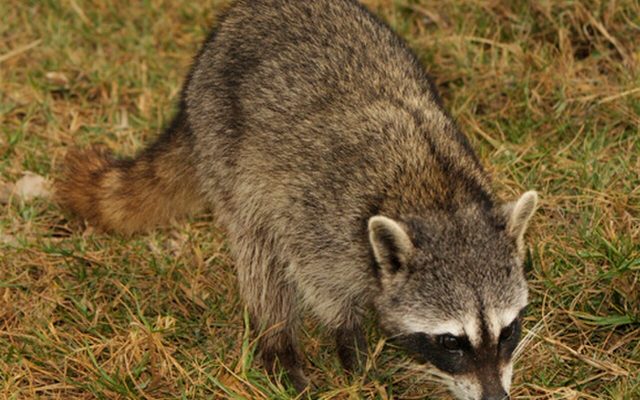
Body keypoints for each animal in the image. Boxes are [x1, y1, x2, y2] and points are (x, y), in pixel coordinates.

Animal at [56, 1, 538, 399]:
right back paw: (278, 342)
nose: (496, 399)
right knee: (258, 252)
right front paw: (353, 353)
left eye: (507, 331)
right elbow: (322, 289)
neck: (437, 196)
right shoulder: (320, 220)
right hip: (226, 144)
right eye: (451, 341)